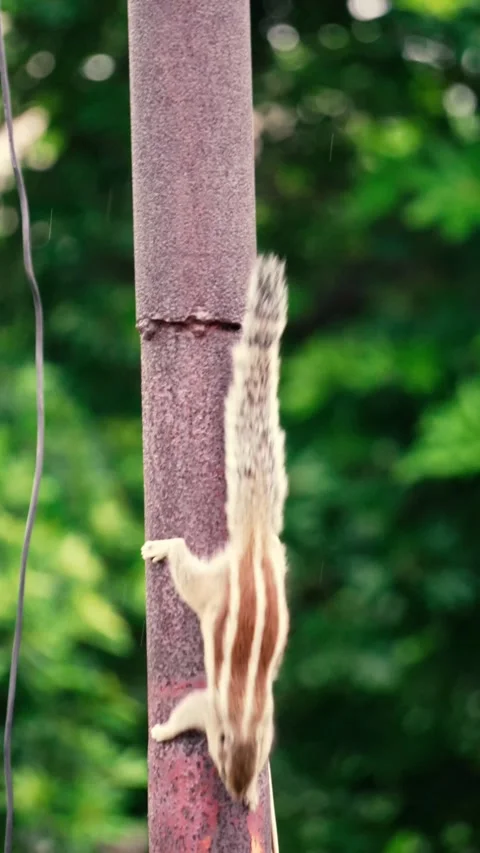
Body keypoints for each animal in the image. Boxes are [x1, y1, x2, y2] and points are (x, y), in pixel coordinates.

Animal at [142, 254, 289, 812]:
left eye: (247, 770)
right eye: (224, 764)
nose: (241, 796)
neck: (245, 716)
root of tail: (255, 543)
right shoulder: (210, 707)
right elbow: (186, 713)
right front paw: (163, 733)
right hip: (211, 587)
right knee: (184, 562)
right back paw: (163, 545)